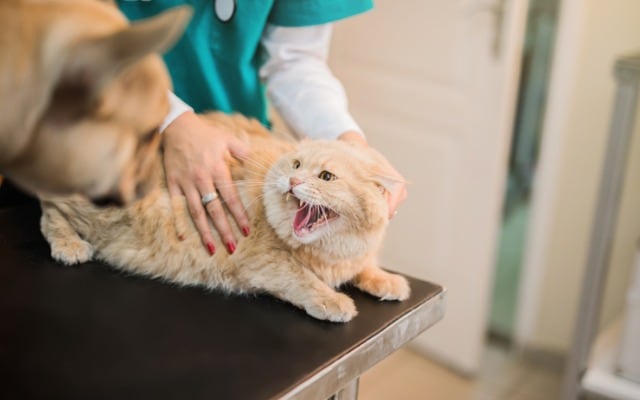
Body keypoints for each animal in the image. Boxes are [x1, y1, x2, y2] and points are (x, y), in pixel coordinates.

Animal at [38, 111, 410, 322]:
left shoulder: (352, 257)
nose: (293, 182)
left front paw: (388, 280)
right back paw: (70, 247)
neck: (328, 254)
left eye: (327, 177)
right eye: (296, 165)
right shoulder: (263, 261)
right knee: (48, 209)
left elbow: (366, 266)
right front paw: (333, 301)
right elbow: (303, 280)